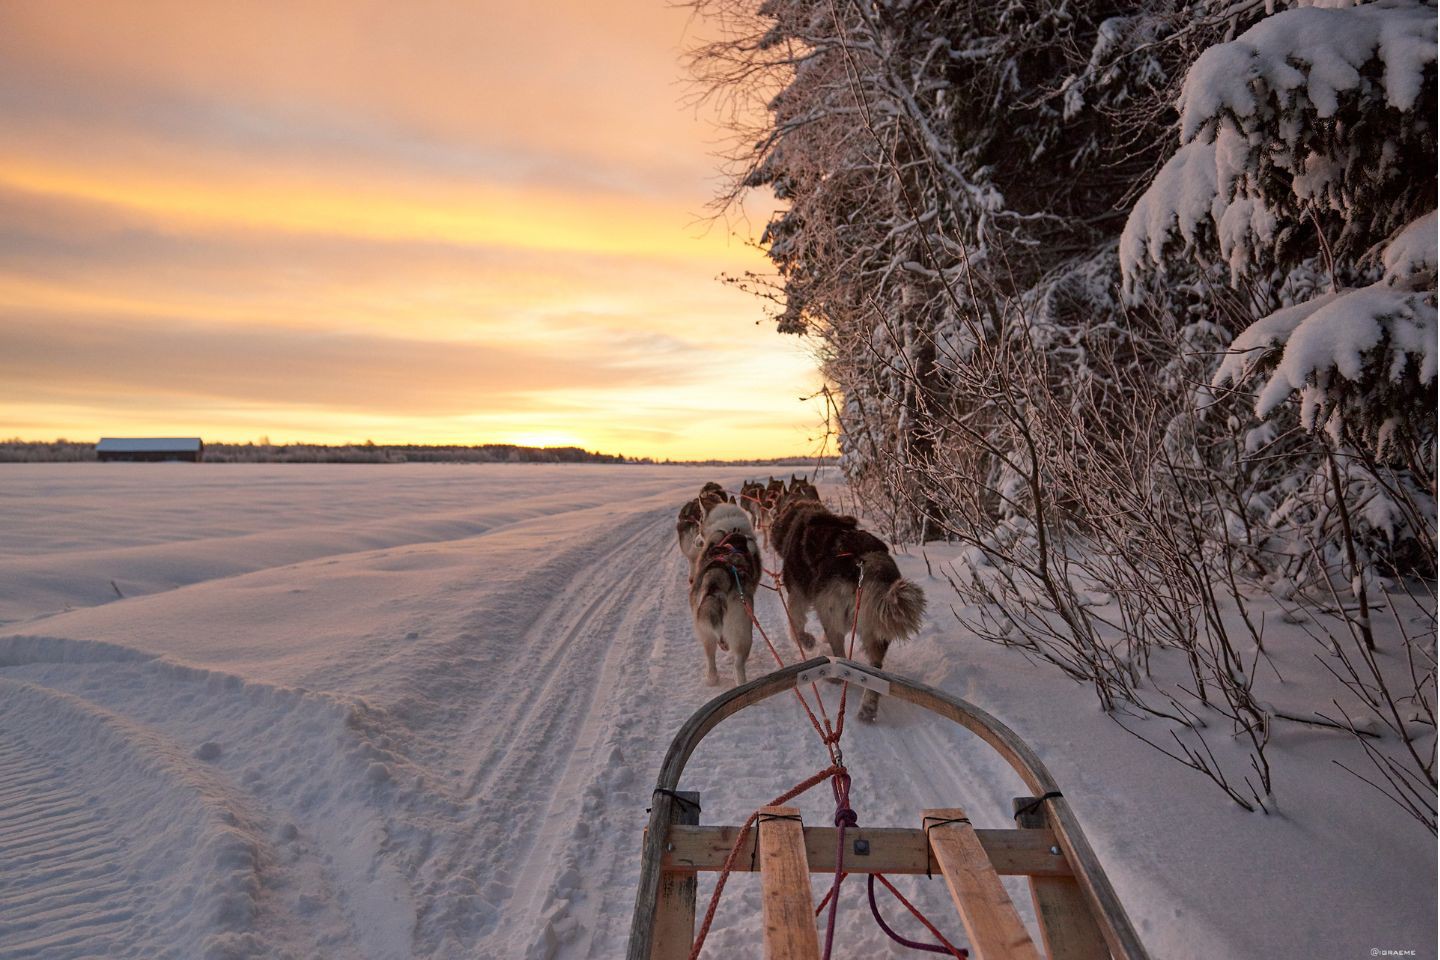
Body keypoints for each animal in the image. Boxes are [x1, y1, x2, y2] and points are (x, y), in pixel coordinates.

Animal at [688, 500, 766, 687]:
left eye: (699, 522)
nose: (696, 541)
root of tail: (719, 575)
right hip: (742, 630)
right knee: (736, 663)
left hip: (707, 626)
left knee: (713, 657)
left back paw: (714, 679)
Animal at [777, 492, 921, 716]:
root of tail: (866, 563)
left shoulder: (797, 594)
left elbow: (796, 623)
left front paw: (806, 640)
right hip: (874, 627)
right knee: (874, 669)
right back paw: (868, 708)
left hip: (832, 615)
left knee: (840, 655)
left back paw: (834, 678)